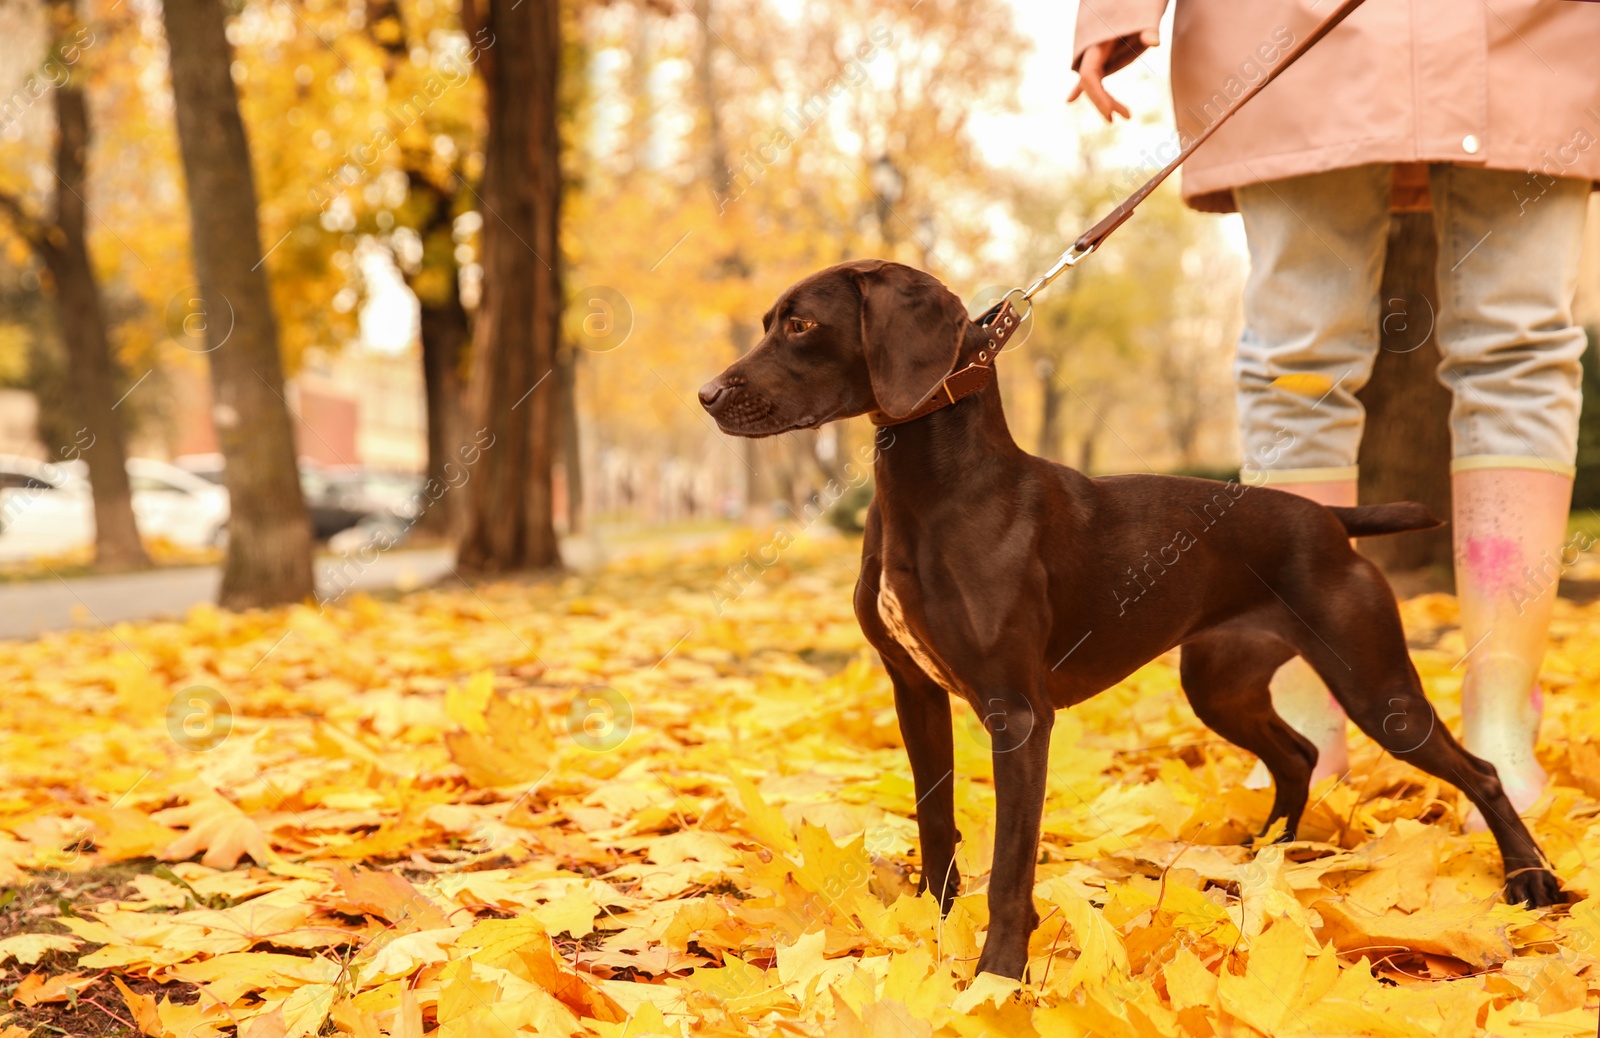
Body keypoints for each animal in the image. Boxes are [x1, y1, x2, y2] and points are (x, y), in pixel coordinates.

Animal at [694, 259, 1555, 978]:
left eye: (801, 325)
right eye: (771, 320)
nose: (706, 396)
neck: (938, 493)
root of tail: (1328, 519)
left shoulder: (1017, 714)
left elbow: (1011, 870)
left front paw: (997, 979)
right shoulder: (917, 693)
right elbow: (936, 823)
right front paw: (931, 934)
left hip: (1378, 688)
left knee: (1477, 769)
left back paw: (1532, 879)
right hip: (1221, 685)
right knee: (1301, 754)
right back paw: (1264, 859)